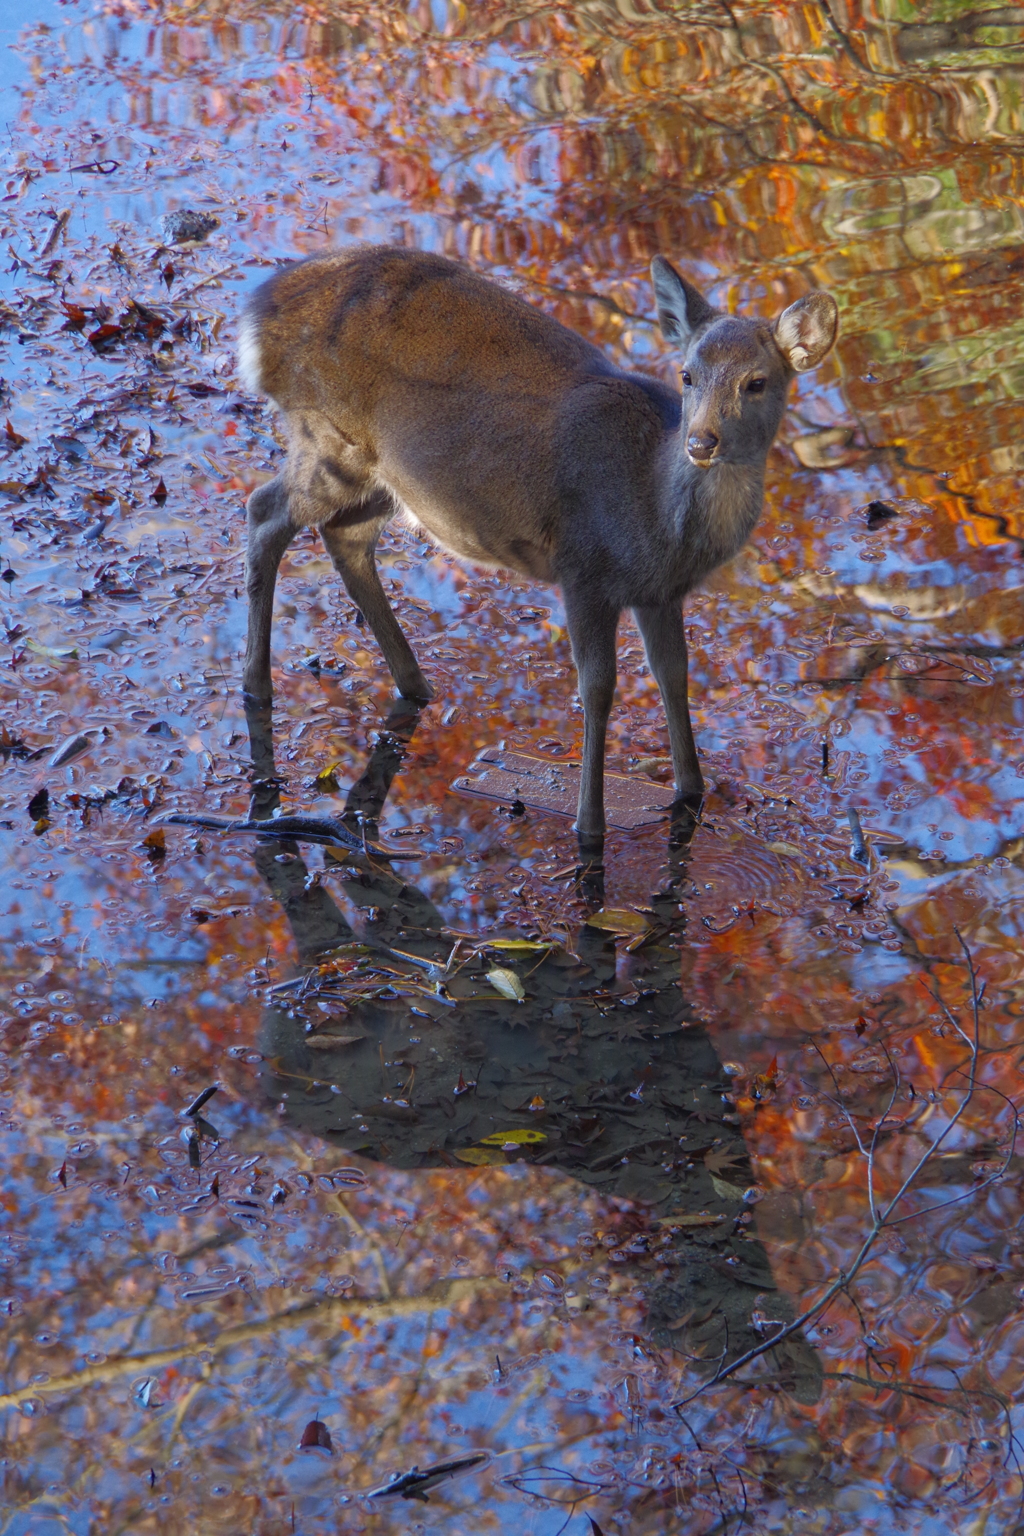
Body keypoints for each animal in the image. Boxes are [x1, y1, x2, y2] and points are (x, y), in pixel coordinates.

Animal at [241, 245, 841, 841]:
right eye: (687, 375)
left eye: (756, 382)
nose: (701, 442)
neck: (654, 515)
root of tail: (259, 313)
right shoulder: (584, 568)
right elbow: (598, 688)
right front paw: (589, 823)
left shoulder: (659, 594)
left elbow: (673, 674)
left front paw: (691, 791)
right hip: (328, 438)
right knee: (265, 510)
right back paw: (256, 684)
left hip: (391, 480)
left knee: (342, 535)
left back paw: (415, 685)